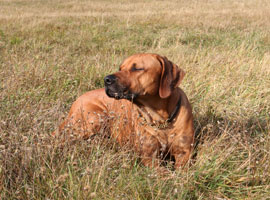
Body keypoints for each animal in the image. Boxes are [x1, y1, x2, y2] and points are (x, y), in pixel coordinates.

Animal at [53, 53, 194, 170]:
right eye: (120, 68)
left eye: (137, 68)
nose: (106, 79)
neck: (160, 119)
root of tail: (77, 99)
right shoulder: (150, 157)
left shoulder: (184, 153)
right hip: (94, 119)